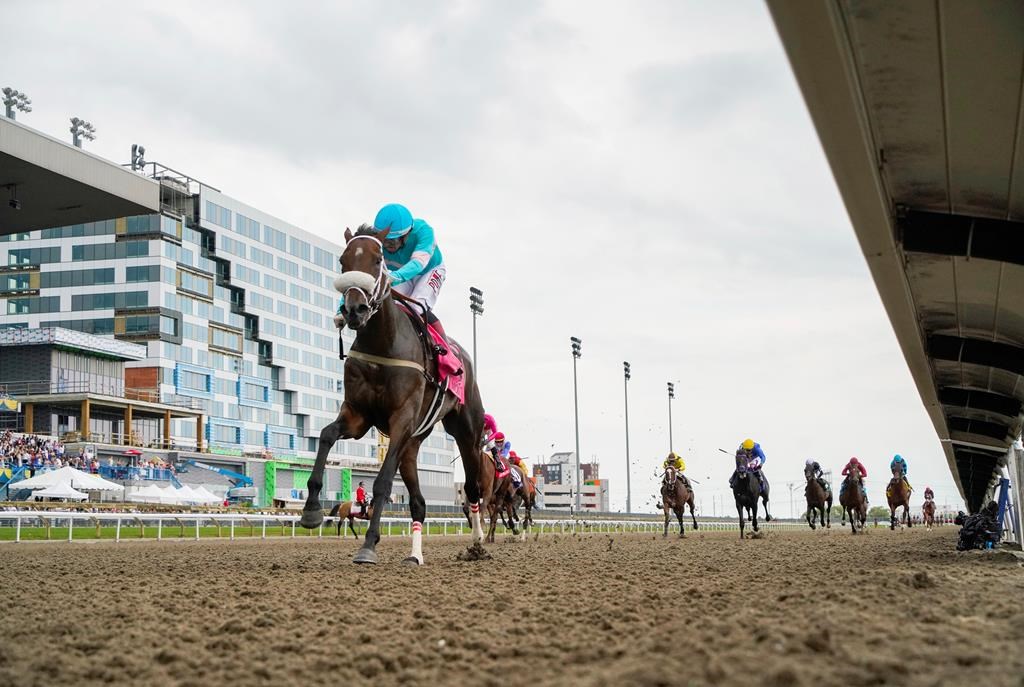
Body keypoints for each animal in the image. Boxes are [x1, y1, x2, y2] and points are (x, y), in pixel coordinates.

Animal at [299, 225, 485, 565]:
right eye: (343, 260)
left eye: (378, 259)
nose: (354, 309)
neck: (382, 344)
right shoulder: (357, 416)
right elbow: (326, 435)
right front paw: (311, 511)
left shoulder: (401, 420)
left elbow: (383, 482)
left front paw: (368, 545)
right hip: (412, 445)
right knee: (419, 503)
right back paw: (415, 556)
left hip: (465, 431)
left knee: (473, 487)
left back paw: (478, 541)